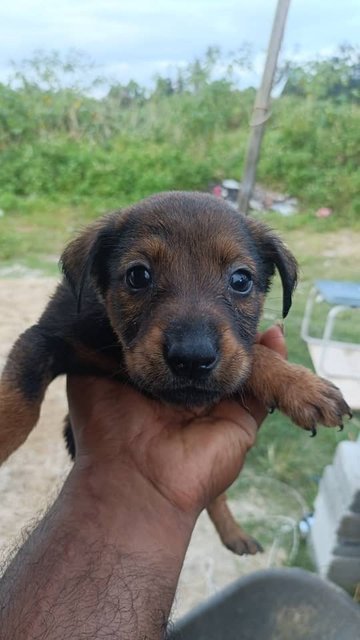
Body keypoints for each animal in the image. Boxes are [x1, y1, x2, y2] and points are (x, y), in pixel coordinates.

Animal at [0, 191, 350, 556]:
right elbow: (19, 405)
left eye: (241, 280)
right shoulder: (43, 337)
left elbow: (252, 354)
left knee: (217, 495)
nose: (192, 358)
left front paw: (300, 384)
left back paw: (234, 532)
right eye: (138, 276)